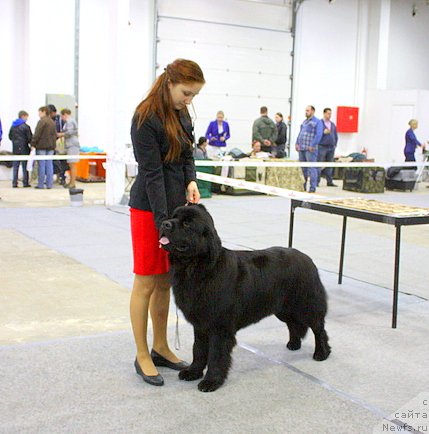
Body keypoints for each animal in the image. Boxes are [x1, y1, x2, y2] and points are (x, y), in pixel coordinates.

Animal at [159, 202, 330, 392]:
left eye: (187, 223)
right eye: (173, 216)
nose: (165, 224)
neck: (197, 268)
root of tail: (308, 259)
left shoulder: (219, 327)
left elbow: (216, 355)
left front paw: (211, 381)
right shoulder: (201, 324)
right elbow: (198, 350)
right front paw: (193, 372)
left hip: (307, 305)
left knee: (319, 329)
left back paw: (321, 353)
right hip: (283, 308)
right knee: (293, 324)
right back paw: (293, 344)